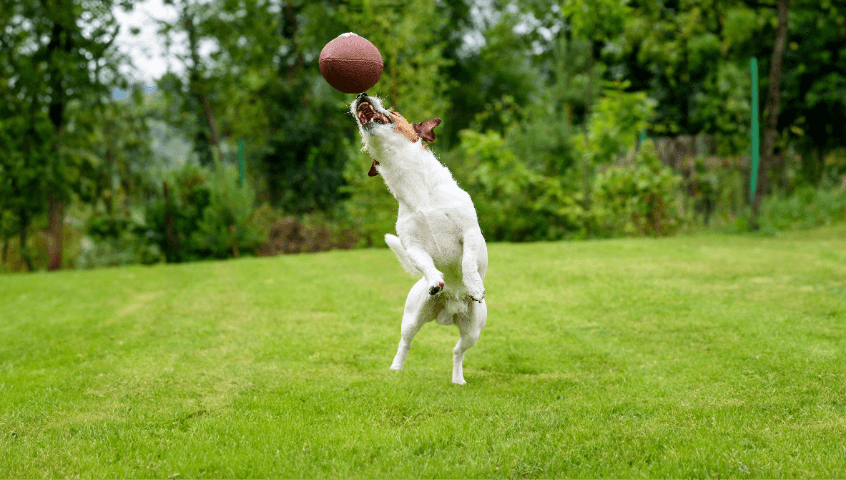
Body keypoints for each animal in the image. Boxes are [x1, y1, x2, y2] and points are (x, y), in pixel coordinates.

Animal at [348, 93, 486, 386]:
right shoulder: (412, 245)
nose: (361, 95)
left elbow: (468, 261)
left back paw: (458, 379)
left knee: (457, 351)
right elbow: (424, 262)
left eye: (393, 110)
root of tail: (450, 308)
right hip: (412, 318)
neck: (416, 190)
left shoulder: (469, 232)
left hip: (473, 331)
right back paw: (396, 369)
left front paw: (474, 285)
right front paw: (435, 279)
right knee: (406, 343)